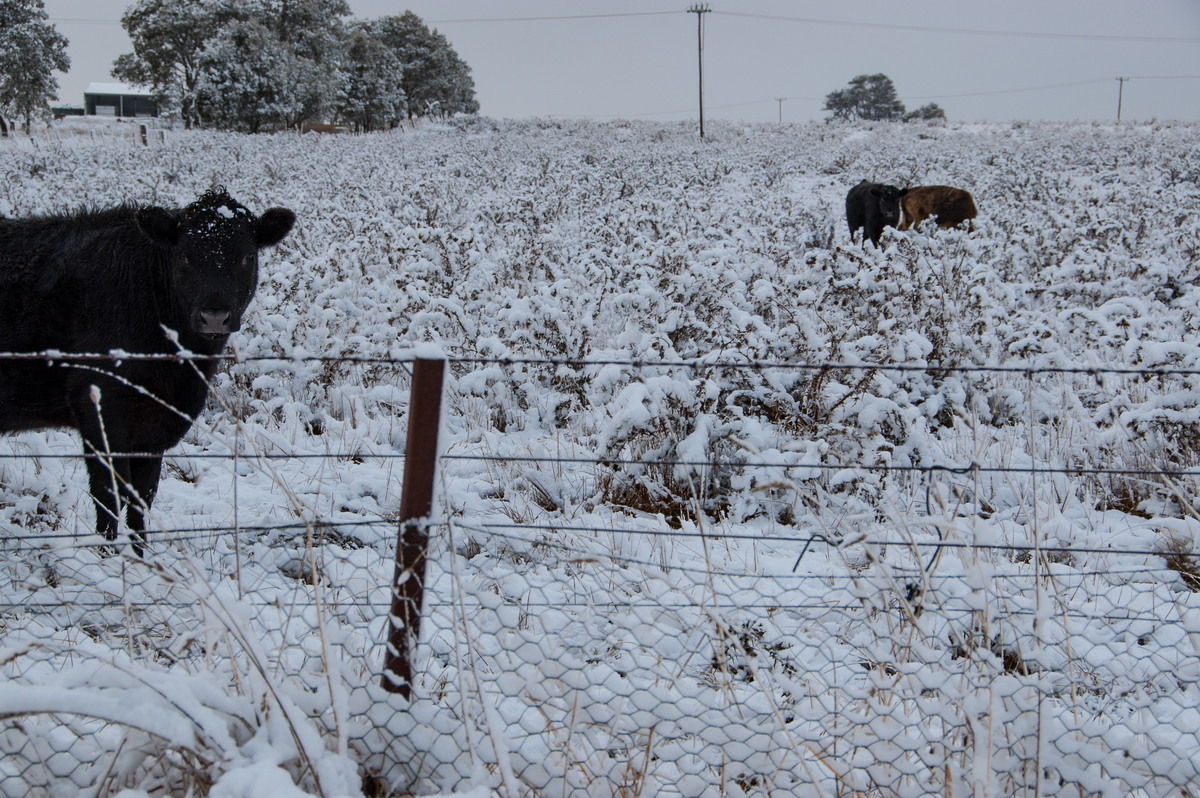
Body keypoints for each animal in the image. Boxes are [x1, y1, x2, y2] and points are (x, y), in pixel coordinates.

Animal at [0, 189, 295, 552]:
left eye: (247, 257)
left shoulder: (155, 427)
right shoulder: (100, 410)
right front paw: (109, 556)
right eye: (184, 257)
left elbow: (142, 496)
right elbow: (109, 495)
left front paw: (143, 554)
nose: (214, 316)